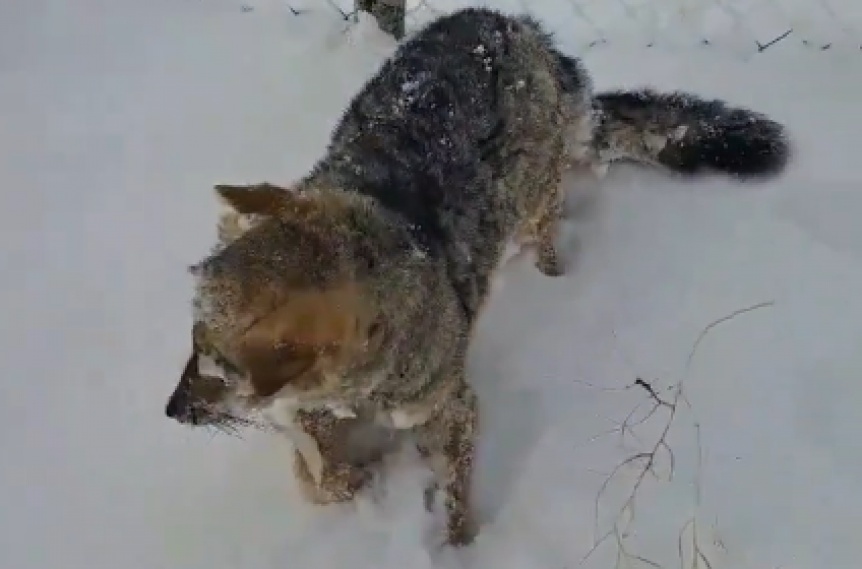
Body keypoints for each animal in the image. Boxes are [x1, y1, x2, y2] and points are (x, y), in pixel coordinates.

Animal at [162, 5, 788, 544]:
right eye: (191, 344)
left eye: (218, 367)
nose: (171, 411)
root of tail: (519, 25)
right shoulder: (319, 411)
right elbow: (316, 481)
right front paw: (352, 477)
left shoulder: (453, 408)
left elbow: (453, 503)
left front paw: (458, 544)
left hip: (533, 200)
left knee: (546, 233)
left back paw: (548, 273)